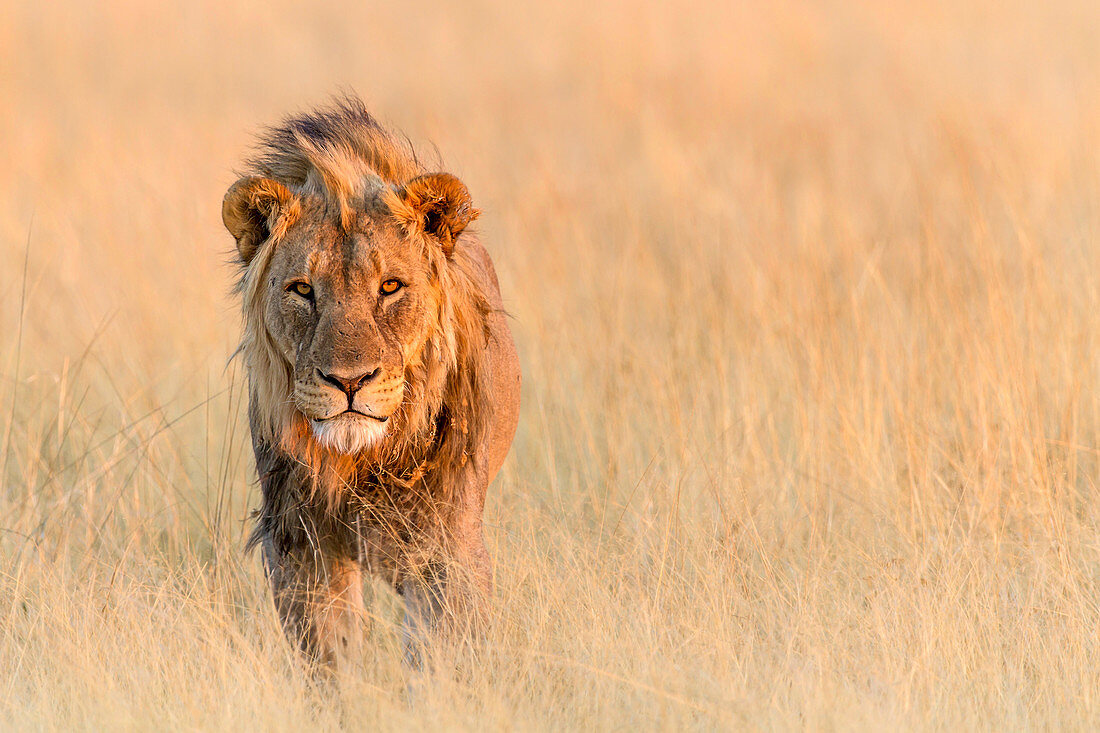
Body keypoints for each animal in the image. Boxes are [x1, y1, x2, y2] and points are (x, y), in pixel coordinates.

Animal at [221, 96, 521, 669]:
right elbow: (330, 657)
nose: (349, 381)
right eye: (302, 289)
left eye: (390, 286)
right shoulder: (302, 545)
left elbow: (440, 655)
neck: (361, 462)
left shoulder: (447, 544)